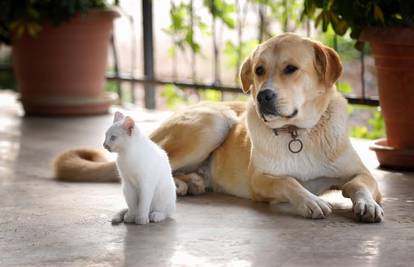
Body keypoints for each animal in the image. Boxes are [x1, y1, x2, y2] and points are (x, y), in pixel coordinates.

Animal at [54, 33, 382, 224]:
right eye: (259, 70)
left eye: (291, 69)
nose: (263, 96)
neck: (297, 134)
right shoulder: (261, 180)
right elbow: (289, 182)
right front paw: (310, 200)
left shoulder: (361, 173)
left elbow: (359, 186)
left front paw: (367, 206)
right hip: (212, 123)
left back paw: (192, 183)